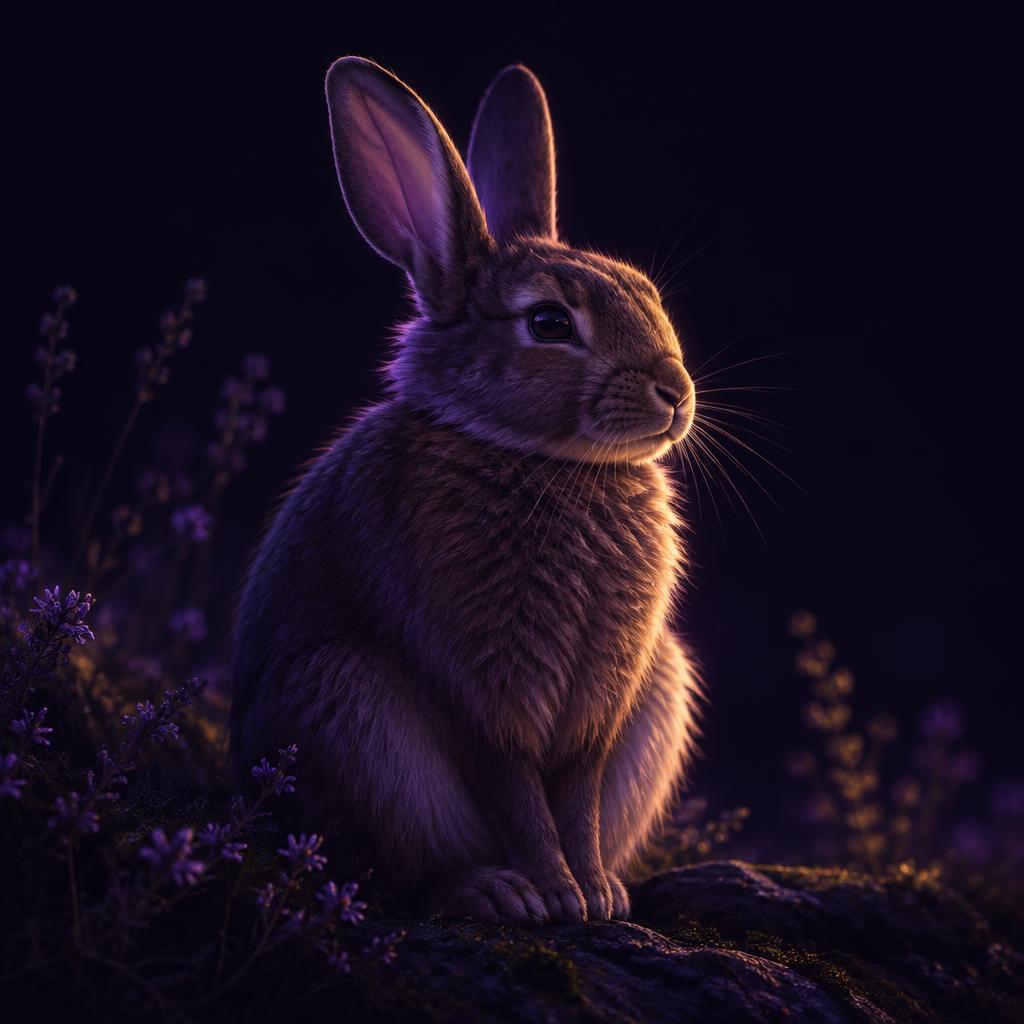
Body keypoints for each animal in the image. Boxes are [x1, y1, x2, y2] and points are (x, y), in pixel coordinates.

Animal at [230, 56, 702, 926]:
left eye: (647, 293)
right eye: (549, 323)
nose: (675, 393)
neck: (547, 459)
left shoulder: (597, 718)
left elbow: (577, 804)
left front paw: (597, 895)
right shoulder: (482, 696)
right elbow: (518, 797)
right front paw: (557, 895)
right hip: (348, 708)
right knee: (393, 876)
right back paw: (493, 891)